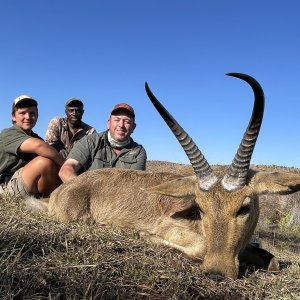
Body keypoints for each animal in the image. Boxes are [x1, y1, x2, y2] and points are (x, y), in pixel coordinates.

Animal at [29, 74, 300, 280]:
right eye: (201, 208)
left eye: (244, 207)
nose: (216, 272)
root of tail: (62, 190)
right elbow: (199, 245)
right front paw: (144, 235)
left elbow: (273, 261)